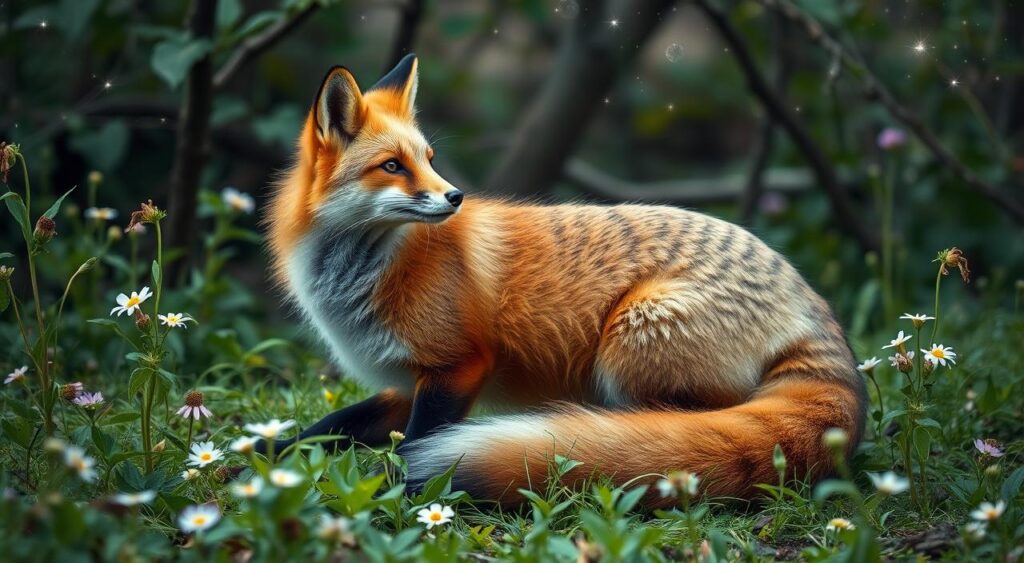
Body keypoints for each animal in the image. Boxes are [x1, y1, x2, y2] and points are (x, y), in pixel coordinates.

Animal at [264, 53, 866, 506]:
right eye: (392, 165)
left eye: (429, 159)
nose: (456, 197)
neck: (357, 280)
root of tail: (812, 304)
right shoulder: (408, 381)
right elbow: (330, 427)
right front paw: (263, 456)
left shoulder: (458, 366)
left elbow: (415, 443)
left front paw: (399, 485)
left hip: (633, 337)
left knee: (669, 433)